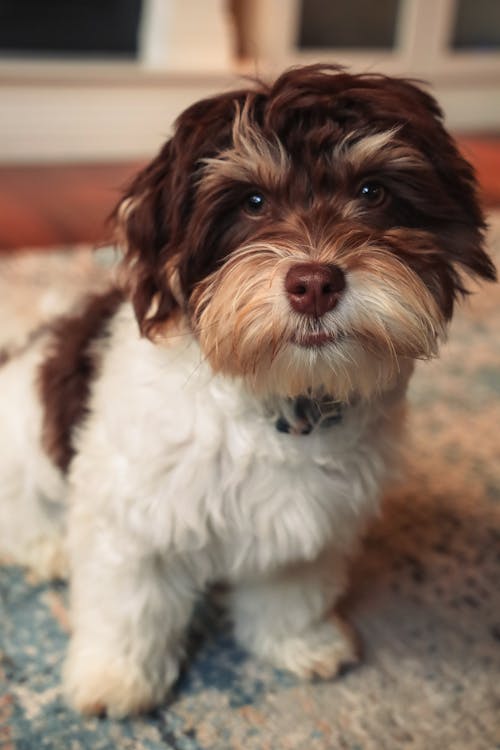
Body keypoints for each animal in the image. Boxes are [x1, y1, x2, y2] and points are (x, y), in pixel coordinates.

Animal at [0, 64, 496, 716]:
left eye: (372, 192)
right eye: (253, 201)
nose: (314, 284)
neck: (281, 398)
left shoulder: (311, 524)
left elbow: (292, 590)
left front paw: (301, 644)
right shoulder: (131, 519)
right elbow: (127, 607)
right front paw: (116, 680)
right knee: (21, 518)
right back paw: (49, 549)